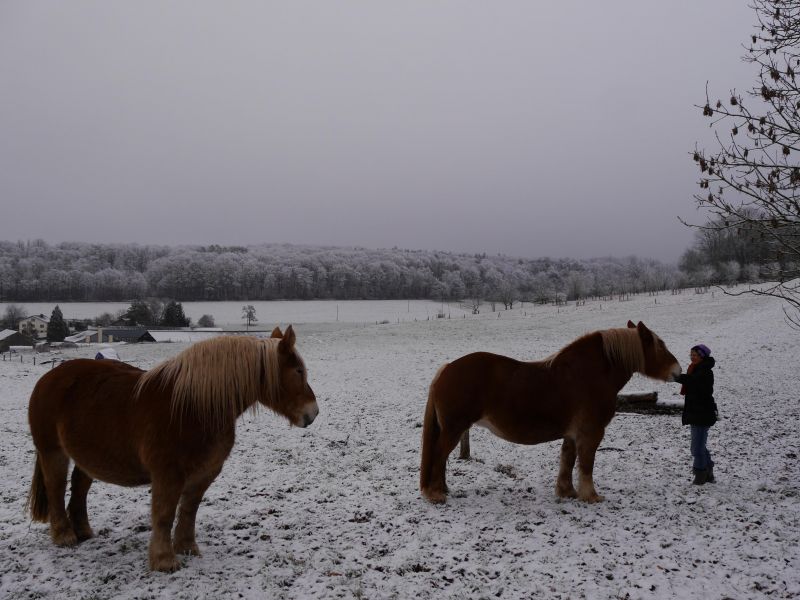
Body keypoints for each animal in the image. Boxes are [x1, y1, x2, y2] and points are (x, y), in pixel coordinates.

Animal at [27, 326, 316, 568]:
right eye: (298, 371)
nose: (312, 414)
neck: (194, 407)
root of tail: (48, 378)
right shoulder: (168, 474)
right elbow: (164, 514)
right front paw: (164, 560)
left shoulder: (204, 473)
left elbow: (189, 510)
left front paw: (187, 548)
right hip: (53, 452)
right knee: (56, 488)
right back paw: (64, 536)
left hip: (87, 457)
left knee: (79, 488)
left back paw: (84, 532)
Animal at [422, 322, 680, 504]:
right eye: (660, 345)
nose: (678, 371)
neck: (590, 374)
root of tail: (447, 369)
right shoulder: (591, 433)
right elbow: (586, 463)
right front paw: (591, 496)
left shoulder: (572, 434)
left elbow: (567, 460)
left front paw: (567, 492)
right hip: (454, 429)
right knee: (439, 455)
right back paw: (435, 494)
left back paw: (442, 490)